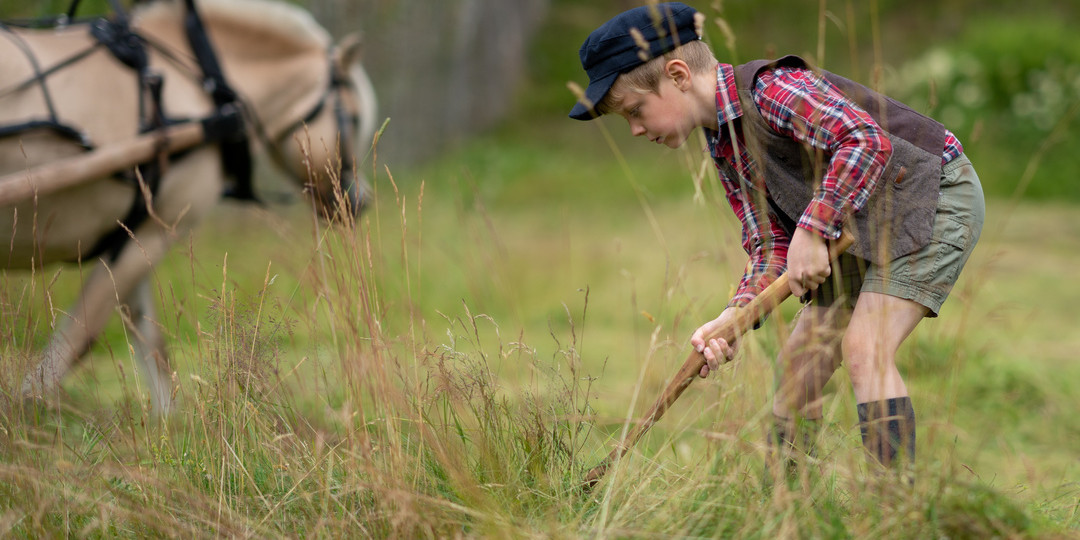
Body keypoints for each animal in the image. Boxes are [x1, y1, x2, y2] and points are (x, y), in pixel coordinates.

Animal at [0, 0, 380, 410]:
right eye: (353, 117)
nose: (360, 200)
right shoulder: (155, 232)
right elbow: (78, 340)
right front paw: (26, 409)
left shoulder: (133, 235)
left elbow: (151, 347)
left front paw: (171, 423)